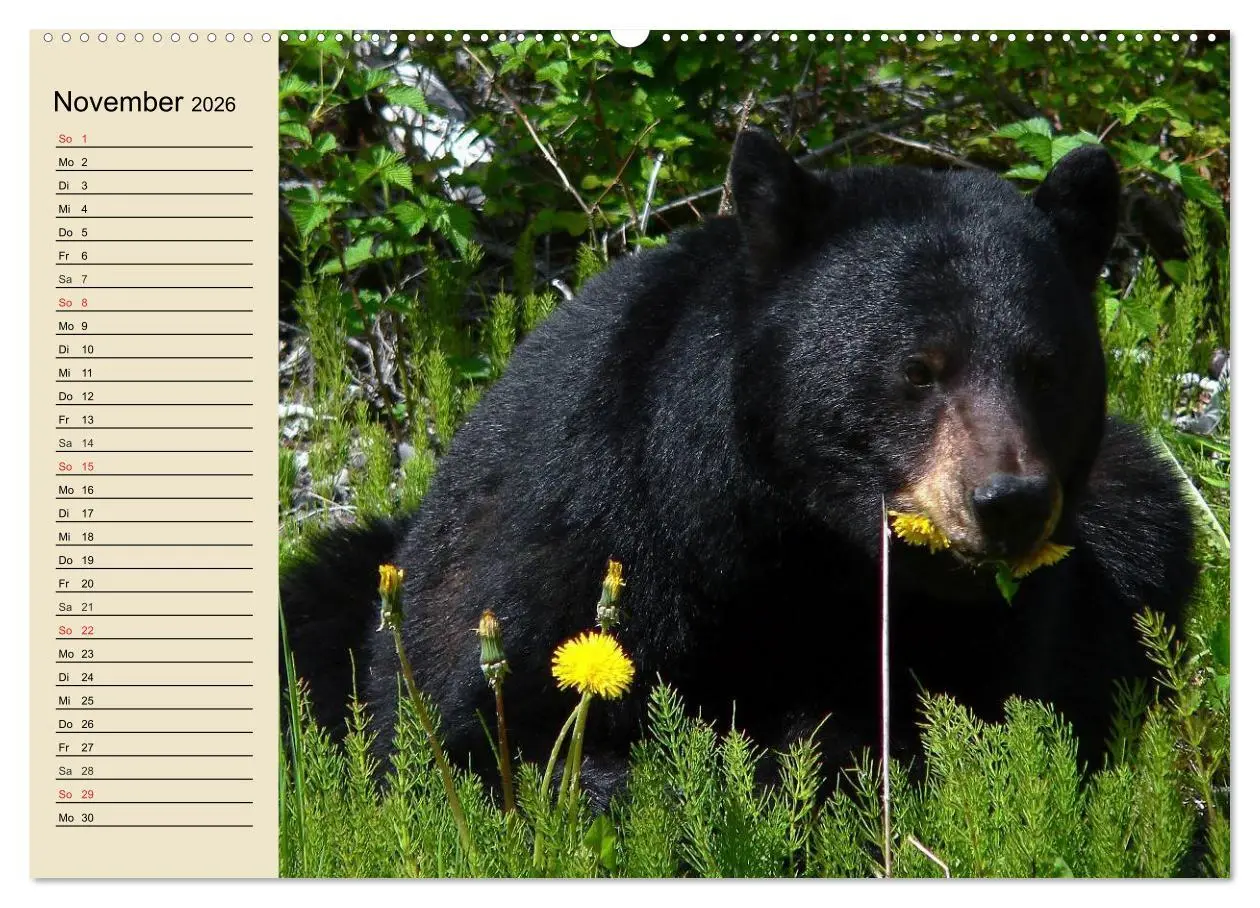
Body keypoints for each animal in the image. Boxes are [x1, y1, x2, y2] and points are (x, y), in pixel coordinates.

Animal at [281, 129, 1197, 803]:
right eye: (918, 368)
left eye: (1045, 368)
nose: (1008, 500)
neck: (793, 539)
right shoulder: (585, 520)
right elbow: (485, 732)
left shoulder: (995, 625)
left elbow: (968, 720)